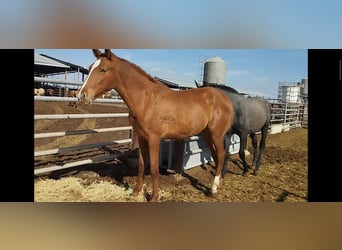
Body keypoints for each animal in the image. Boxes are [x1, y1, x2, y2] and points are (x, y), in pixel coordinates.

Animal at [77, 49, 235, 201]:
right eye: (90, 68)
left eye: (103, 70)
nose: (81, 96)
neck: (146, 100)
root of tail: (225, 99)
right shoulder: (142, 138)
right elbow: (141, 165)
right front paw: (136, 192)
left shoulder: (154, 139)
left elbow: (153, 168)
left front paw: (154, 197)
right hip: (208, 134)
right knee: (217, 156)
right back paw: (215, 185)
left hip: (216, 134)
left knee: (221, 155)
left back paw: (213, 189)